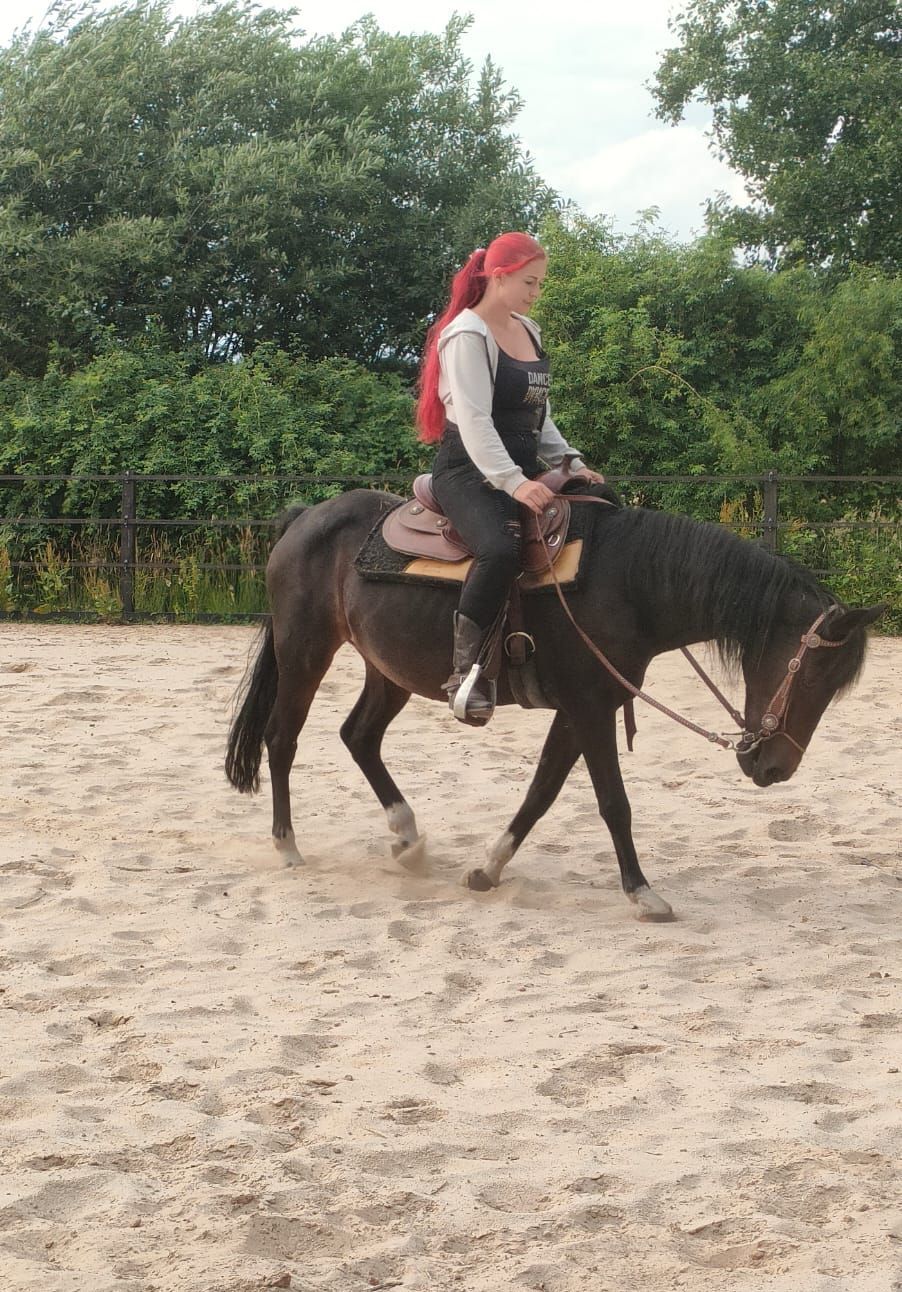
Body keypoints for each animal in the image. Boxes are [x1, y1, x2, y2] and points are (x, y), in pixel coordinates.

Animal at [225, 489, 882, 921]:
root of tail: (305, 518)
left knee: (358, 736)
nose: (774, 768)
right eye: (814, 674)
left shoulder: (583, 709)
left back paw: (407, 838)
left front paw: (487, 870)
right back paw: (288, 846)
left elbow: (541, 791)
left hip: (388, 669)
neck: (627, 584)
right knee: (283, 738)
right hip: (305, 649)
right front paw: (642, 892)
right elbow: (614, 803)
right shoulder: (590, 709)